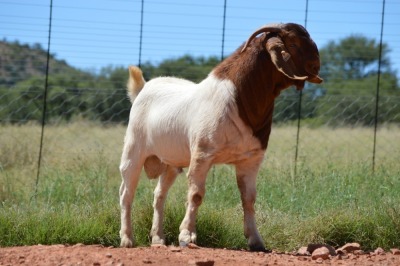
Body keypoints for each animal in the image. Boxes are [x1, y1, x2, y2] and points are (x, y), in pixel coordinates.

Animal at [119, 22, 322, 251]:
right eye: (293, 43)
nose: (317, 65)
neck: (240, 100)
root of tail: (142, 89)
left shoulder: (251, 160)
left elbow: (249, 199)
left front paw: (256, 240)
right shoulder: (202, 155)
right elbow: (196, 195)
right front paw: (187, 236)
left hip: (171, 163)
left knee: (159, 195)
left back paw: (158, 238)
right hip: (133, 152)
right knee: (126, 194)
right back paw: (126, 239)